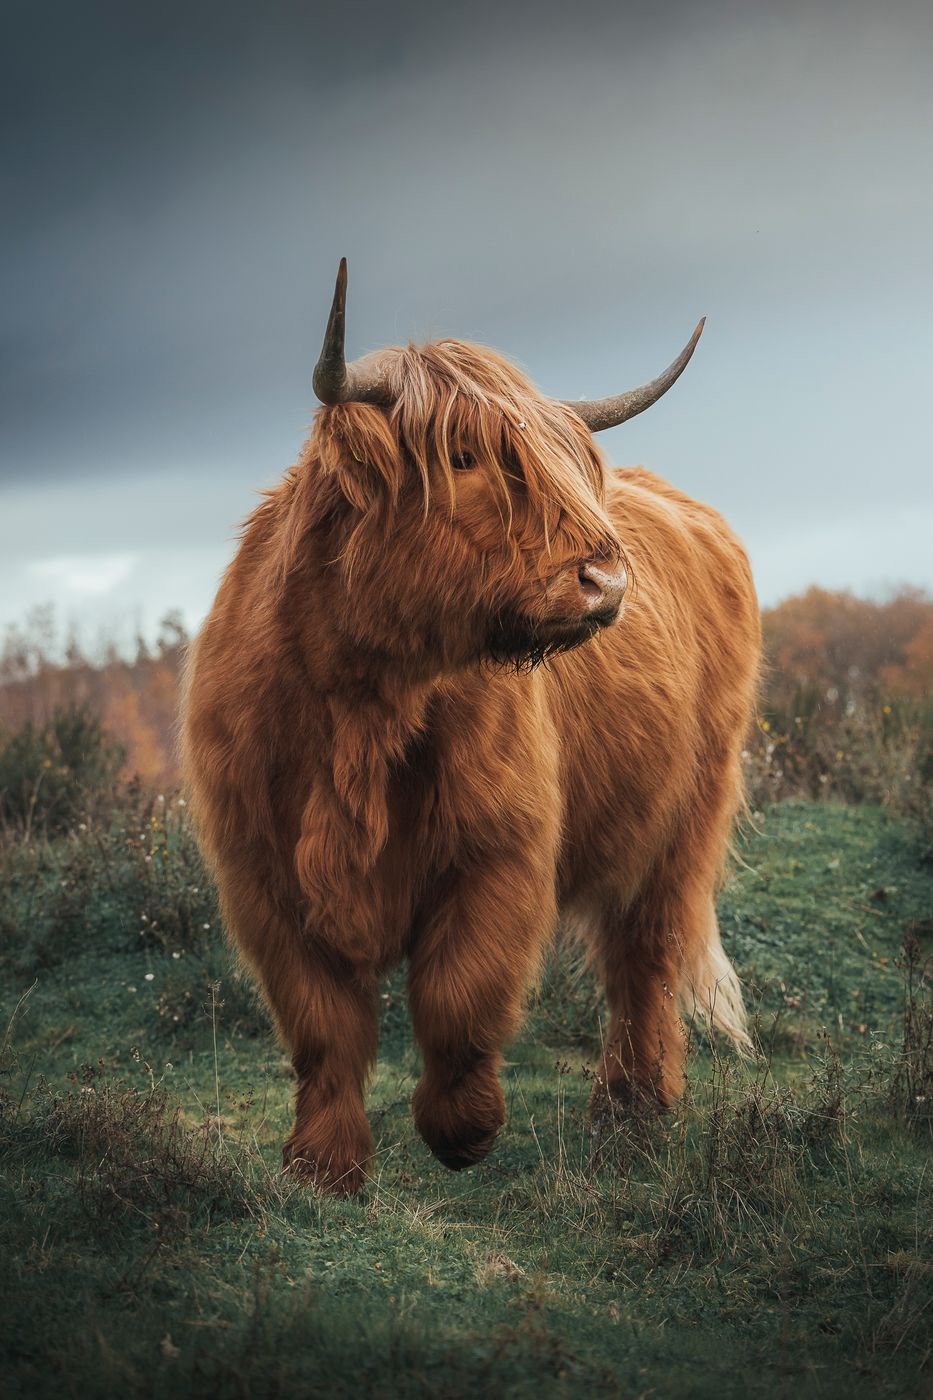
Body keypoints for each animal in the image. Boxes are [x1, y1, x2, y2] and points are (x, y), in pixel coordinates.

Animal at [181, 260, 760, 1193]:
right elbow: (320, 1024)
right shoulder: (262, 875)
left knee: (646, 953)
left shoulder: (497, 851)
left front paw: (463, 1131)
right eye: (461, 457)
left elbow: (459, 994)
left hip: (683, 819)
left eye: (568, 464)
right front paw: (322, 1166)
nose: (607, 578)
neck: (363, 703)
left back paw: (633, 1110)